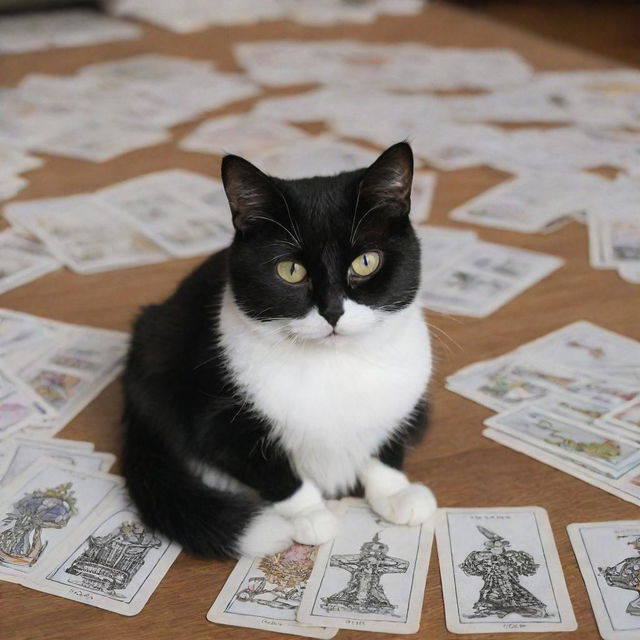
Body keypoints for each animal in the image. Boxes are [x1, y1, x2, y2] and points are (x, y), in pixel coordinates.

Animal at [121, 139, 436, 556]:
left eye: (366, 262)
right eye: (290, 270)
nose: (333, 311)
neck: (336, 365)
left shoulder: (403, 392)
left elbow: (387, 437)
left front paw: (394, 492)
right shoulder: (219, 422)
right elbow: (270, 469)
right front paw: (309, 514)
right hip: (156, 353)